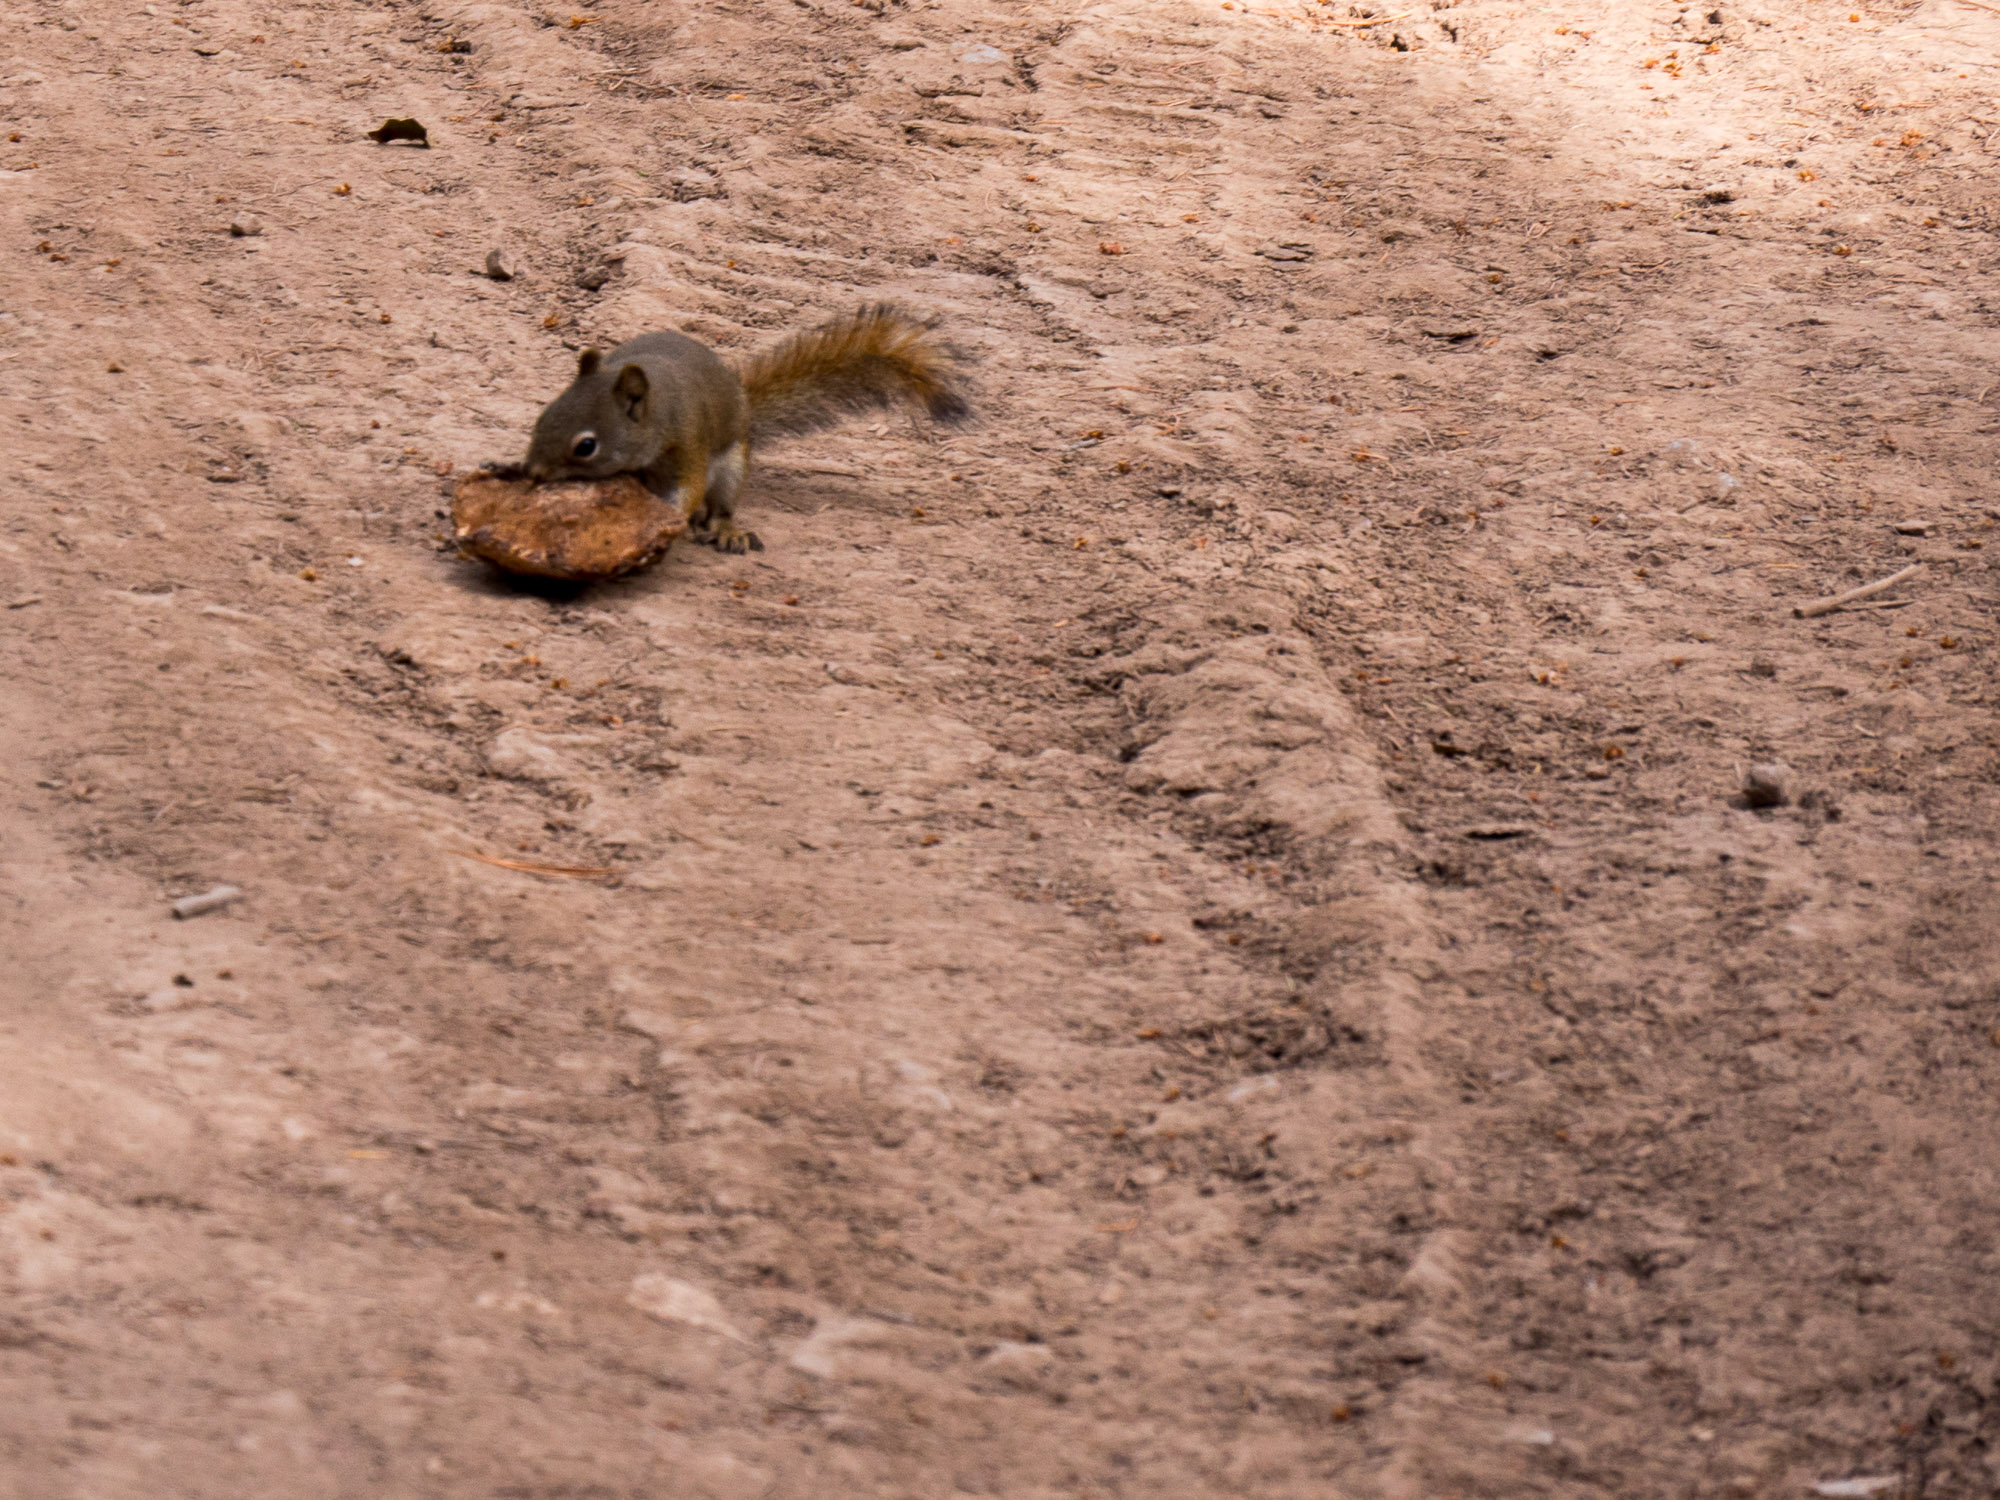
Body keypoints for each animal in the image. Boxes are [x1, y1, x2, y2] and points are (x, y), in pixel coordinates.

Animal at [524, 302, 968, 556]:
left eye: (586, 446)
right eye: (541, 419)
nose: (532, 473)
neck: (658, 409)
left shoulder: (688, 445)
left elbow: (687, 490)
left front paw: (668, 519)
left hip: (732, 466)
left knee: (719, 506)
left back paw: (724, 530)